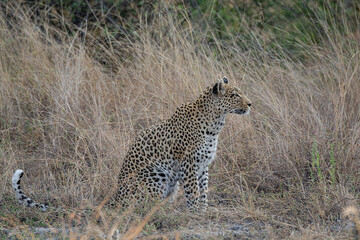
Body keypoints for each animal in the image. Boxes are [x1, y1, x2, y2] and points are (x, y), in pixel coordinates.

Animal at [13, 77, 250, 210]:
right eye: (235, 95)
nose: (250, 103)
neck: (216, 122)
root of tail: (115, 199)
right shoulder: (188, 163)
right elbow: (193, 191)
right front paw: (195, 215)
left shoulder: (203, 165)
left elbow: (204, 190)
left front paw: (204, 211)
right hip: (155, 174)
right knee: (140, 207)